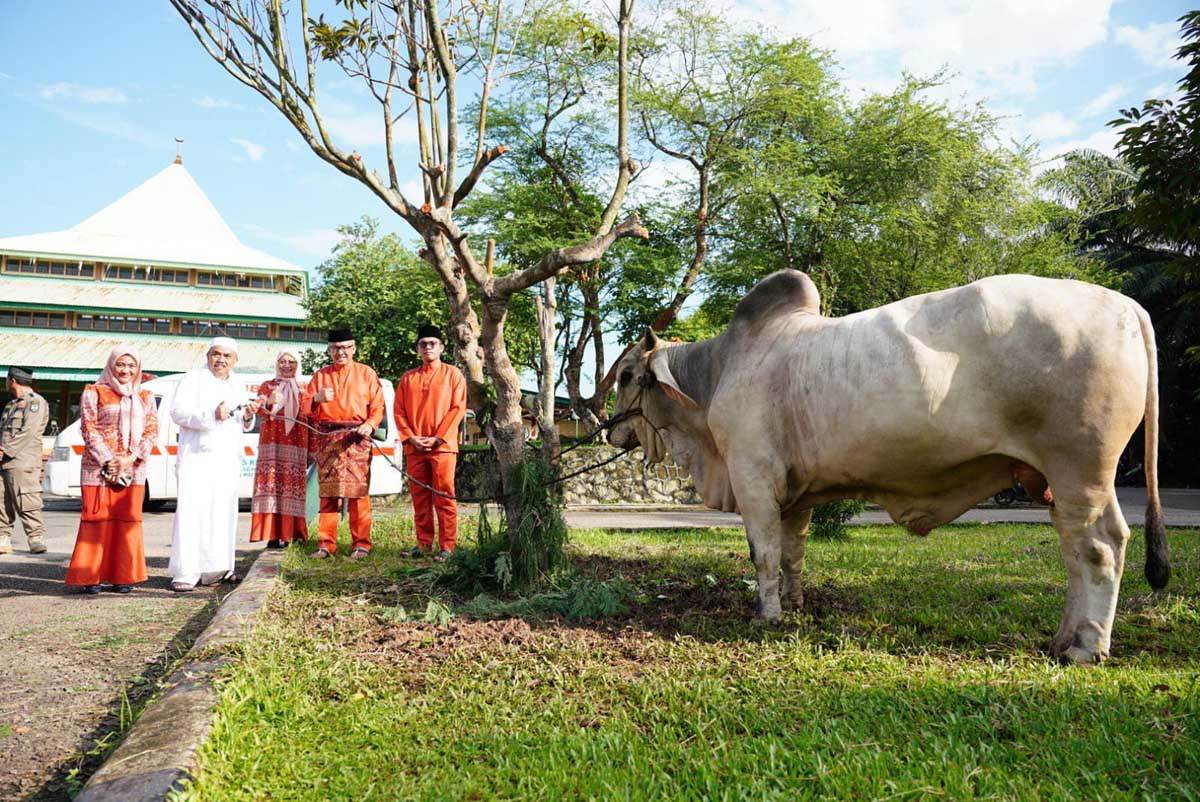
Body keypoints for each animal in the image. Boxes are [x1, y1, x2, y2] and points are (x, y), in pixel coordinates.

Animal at [604, 268, 1166, 662]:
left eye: (627, 374)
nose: (609, 431)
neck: (718, 371)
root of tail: (1125, 305)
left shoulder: (753, 479)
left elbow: (762, 555)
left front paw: (766, 617)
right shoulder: (795, 494)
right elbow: (791, 554)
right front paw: (794, 605)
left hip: (1080, 470)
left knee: (1098, 549)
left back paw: (1085, 648)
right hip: (1065, 482)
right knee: (1084, 550)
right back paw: (1061, 638)